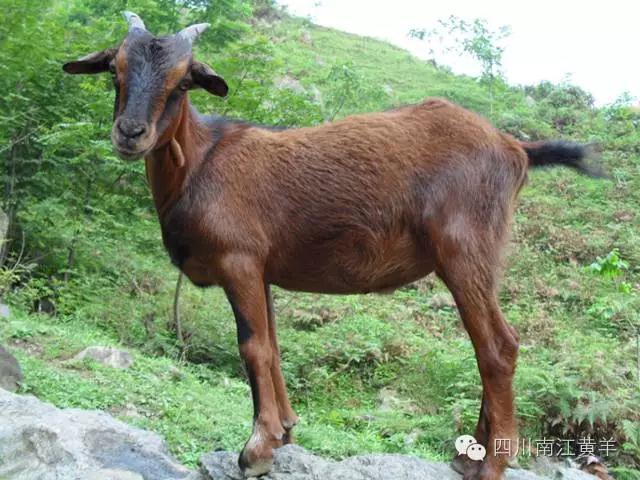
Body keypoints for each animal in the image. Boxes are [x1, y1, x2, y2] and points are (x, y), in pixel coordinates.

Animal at [63, 12, 603, 480]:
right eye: (114, 70)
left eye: (182, 83)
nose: (130, 133)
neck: (200, 161)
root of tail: (515, 148)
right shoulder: (262, 269)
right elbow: (273, 346)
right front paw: (284, 432)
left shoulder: (239, 260)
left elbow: (252, 347)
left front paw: (256, 448)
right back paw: (467, 457)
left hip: (465, 250)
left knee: (497, 346)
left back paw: (491, 465)